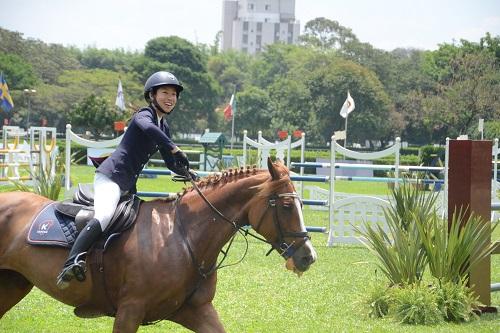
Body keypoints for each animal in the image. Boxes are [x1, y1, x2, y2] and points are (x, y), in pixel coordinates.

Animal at [0, 157, 318, 330]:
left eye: (302, 204)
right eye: (286, 206)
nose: (308, 257)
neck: (184, 236)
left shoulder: (197, 311)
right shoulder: (129, 311)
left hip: (13, 283)